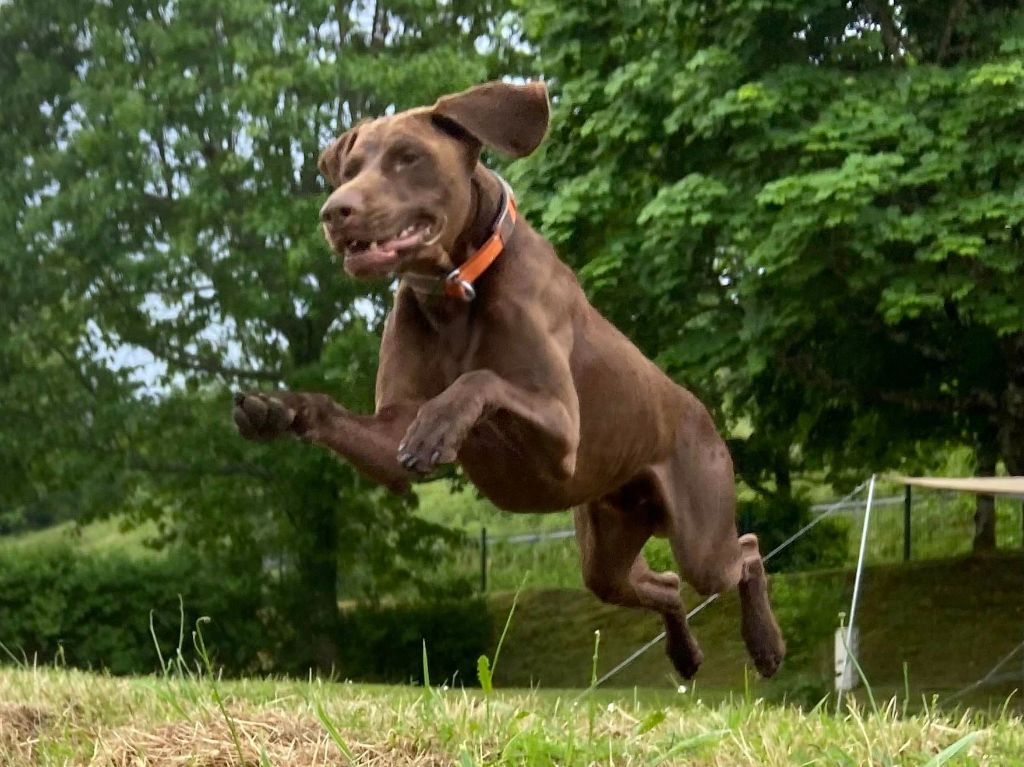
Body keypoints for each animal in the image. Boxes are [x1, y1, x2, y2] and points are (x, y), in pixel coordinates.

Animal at [235, 80, 786, 679]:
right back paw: (685, 656)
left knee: (747, 550)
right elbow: (337, 414)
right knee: (662, 584)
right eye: (351, 169)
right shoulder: (389, 434)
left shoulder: (561, 431)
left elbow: (480, 380)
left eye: (409, 157)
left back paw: (765, 644)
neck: (454, 291)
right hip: (606, 549)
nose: (335, 211)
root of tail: (702, 413)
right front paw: (277, 408)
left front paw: (438, 428)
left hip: (700, 537)